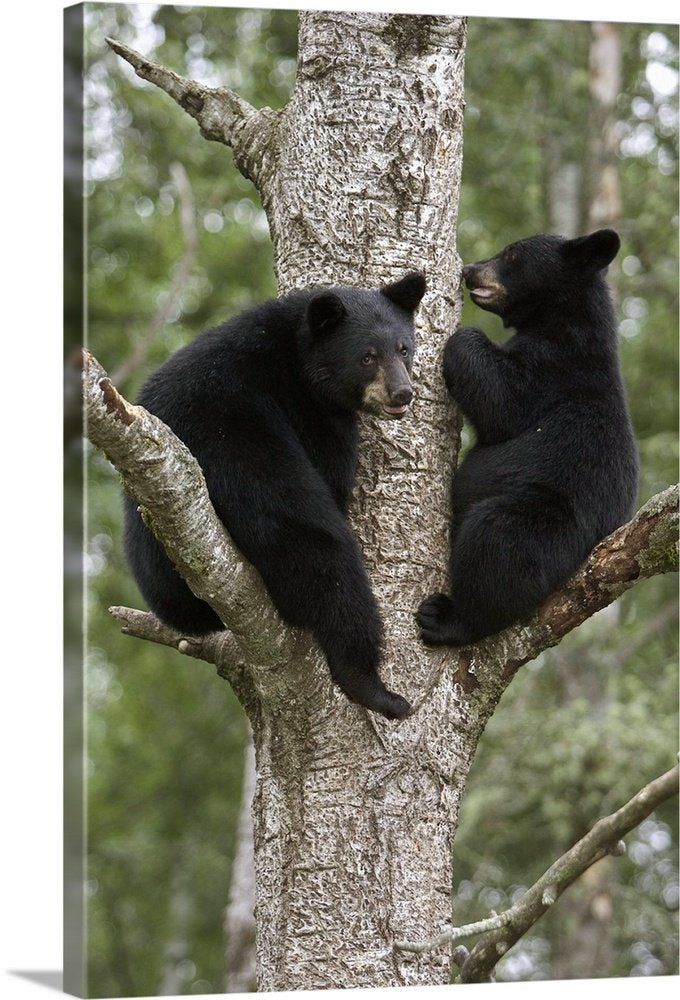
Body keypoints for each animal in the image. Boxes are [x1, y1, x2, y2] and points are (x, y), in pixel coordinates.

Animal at [124, 272, 426, 719]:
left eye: (404, 348)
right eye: (367, 357)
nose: (402, 393)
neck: (298, 359)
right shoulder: (309, 414)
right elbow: (329, 477)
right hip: (249, 460)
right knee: (323, 554)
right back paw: (373, 686)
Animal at [417, 228, 639, 646]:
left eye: (512, 255)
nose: (470, 270)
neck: (562, 322)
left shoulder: (553, 371)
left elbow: (502, 399)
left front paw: (459, 335)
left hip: (549, 522)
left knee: (498, 543)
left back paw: (449, 619)